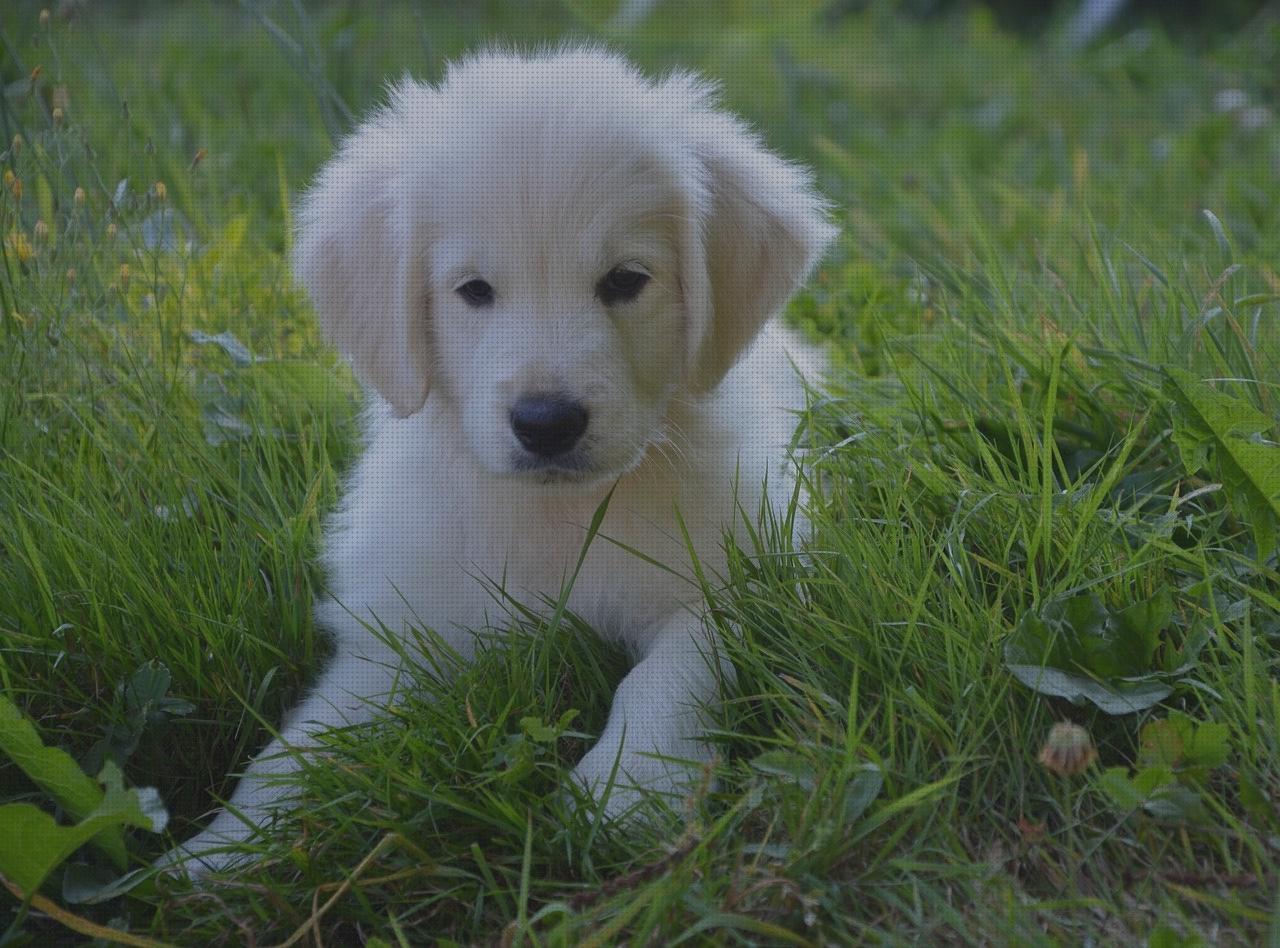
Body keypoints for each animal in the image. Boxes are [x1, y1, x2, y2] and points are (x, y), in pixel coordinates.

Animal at [165, 44, 834, 875]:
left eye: (626, 281)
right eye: (474, 290)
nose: (547, 423)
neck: (553, 514)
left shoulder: (739, 576)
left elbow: (666, 675)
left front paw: (623, 790)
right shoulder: (399, 630)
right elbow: (302, 744)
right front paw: (216, 853)